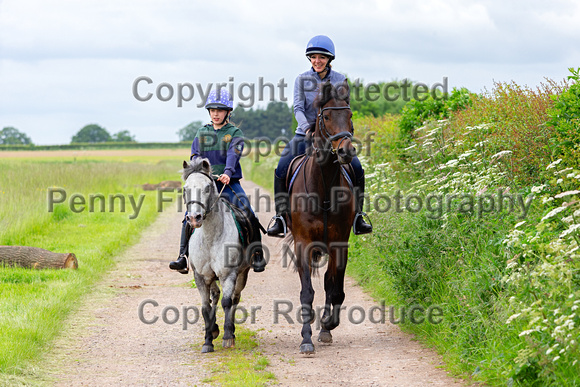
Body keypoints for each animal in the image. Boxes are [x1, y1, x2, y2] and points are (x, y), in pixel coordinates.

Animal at [286, 80, 358, 354]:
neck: (324, 187)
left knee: (329, 282)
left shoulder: (340, 244)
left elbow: (335, 289)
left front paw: (327, 324)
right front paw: (306, 339)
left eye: (350, 115)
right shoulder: (303, 243)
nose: (346, 151)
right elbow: (307, 292)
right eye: (326, 116)